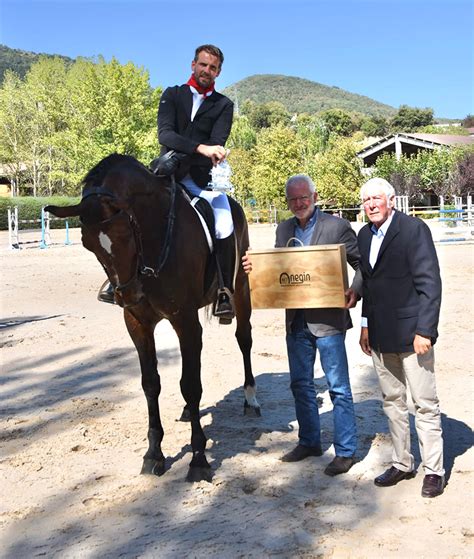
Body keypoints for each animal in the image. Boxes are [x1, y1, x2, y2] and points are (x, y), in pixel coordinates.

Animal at [45, 155, 260, 484]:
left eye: (125, 234)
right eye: (87, 244)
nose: (128, 294)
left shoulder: (185, 321)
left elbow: (191, 384)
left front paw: (199, 459)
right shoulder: (138, 324)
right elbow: (151, 384)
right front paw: (153, 454)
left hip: (241, 289)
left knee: (244, 339)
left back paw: (251, 399)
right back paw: (187, 412)